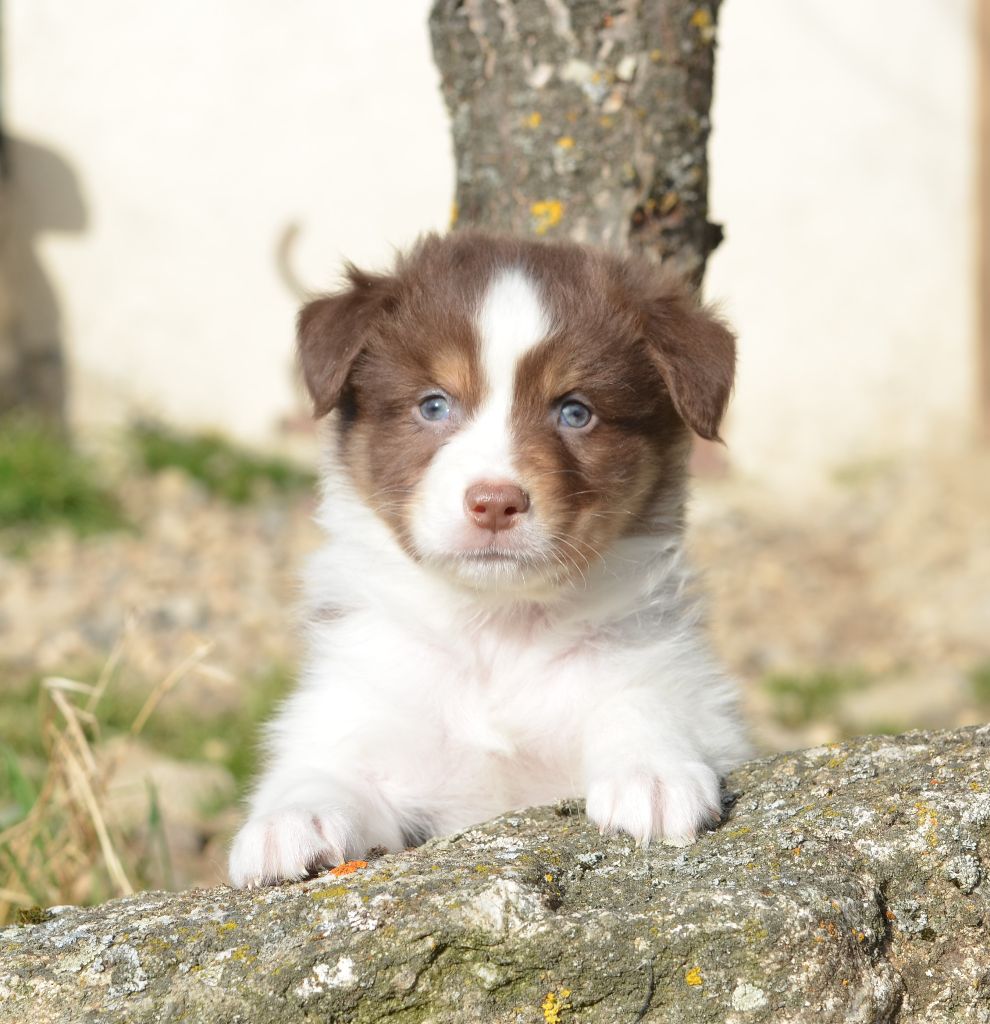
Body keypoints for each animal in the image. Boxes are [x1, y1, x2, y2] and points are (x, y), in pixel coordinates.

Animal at [228, 232, 745, 888]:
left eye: (575, 411)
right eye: (433, 405)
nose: (495, 502)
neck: (498, 631)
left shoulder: (679, 683)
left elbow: (642, 700)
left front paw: (651, 776)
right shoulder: (365, 708)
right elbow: (327, 768)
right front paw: (291, 822)